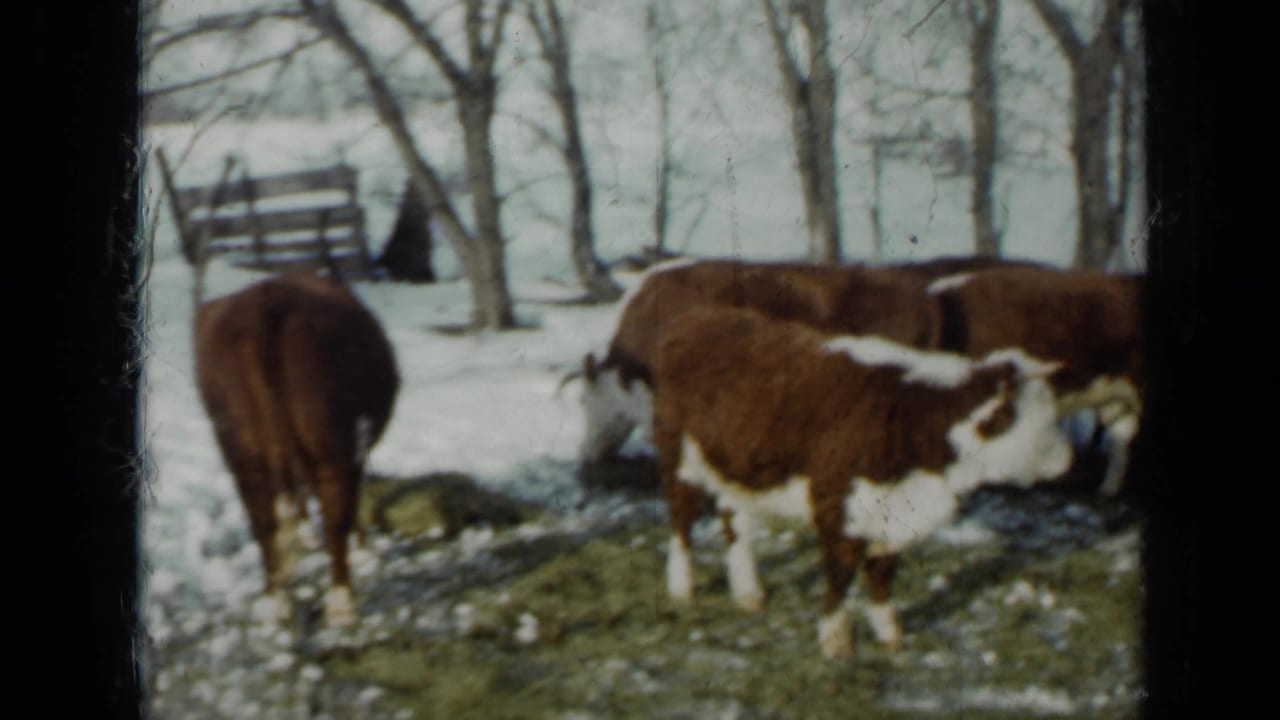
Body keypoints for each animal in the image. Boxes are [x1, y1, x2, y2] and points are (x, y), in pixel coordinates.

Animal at [194, 271, 400, 627]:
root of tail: (264, 303)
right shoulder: (356, 448)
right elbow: (349, 503)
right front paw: (362, 549)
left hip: (242, 448)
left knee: (263, 521)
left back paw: (276, 600)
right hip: (330, 440)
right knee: (334, 514)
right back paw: (342, 601)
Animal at [651, 305, 1073, 659]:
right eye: (1029, 419)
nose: (1067, 458)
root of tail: (700, 318)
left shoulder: (893, 513)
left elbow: (883, 574)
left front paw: (890, 633)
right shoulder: (838, 509)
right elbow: (841, 574)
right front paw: (836, 640)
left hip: (734, 465)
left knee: (734, 520)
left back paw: (748, 591)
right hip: (679, 460)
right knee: (681, 521)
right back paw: (682, 586)